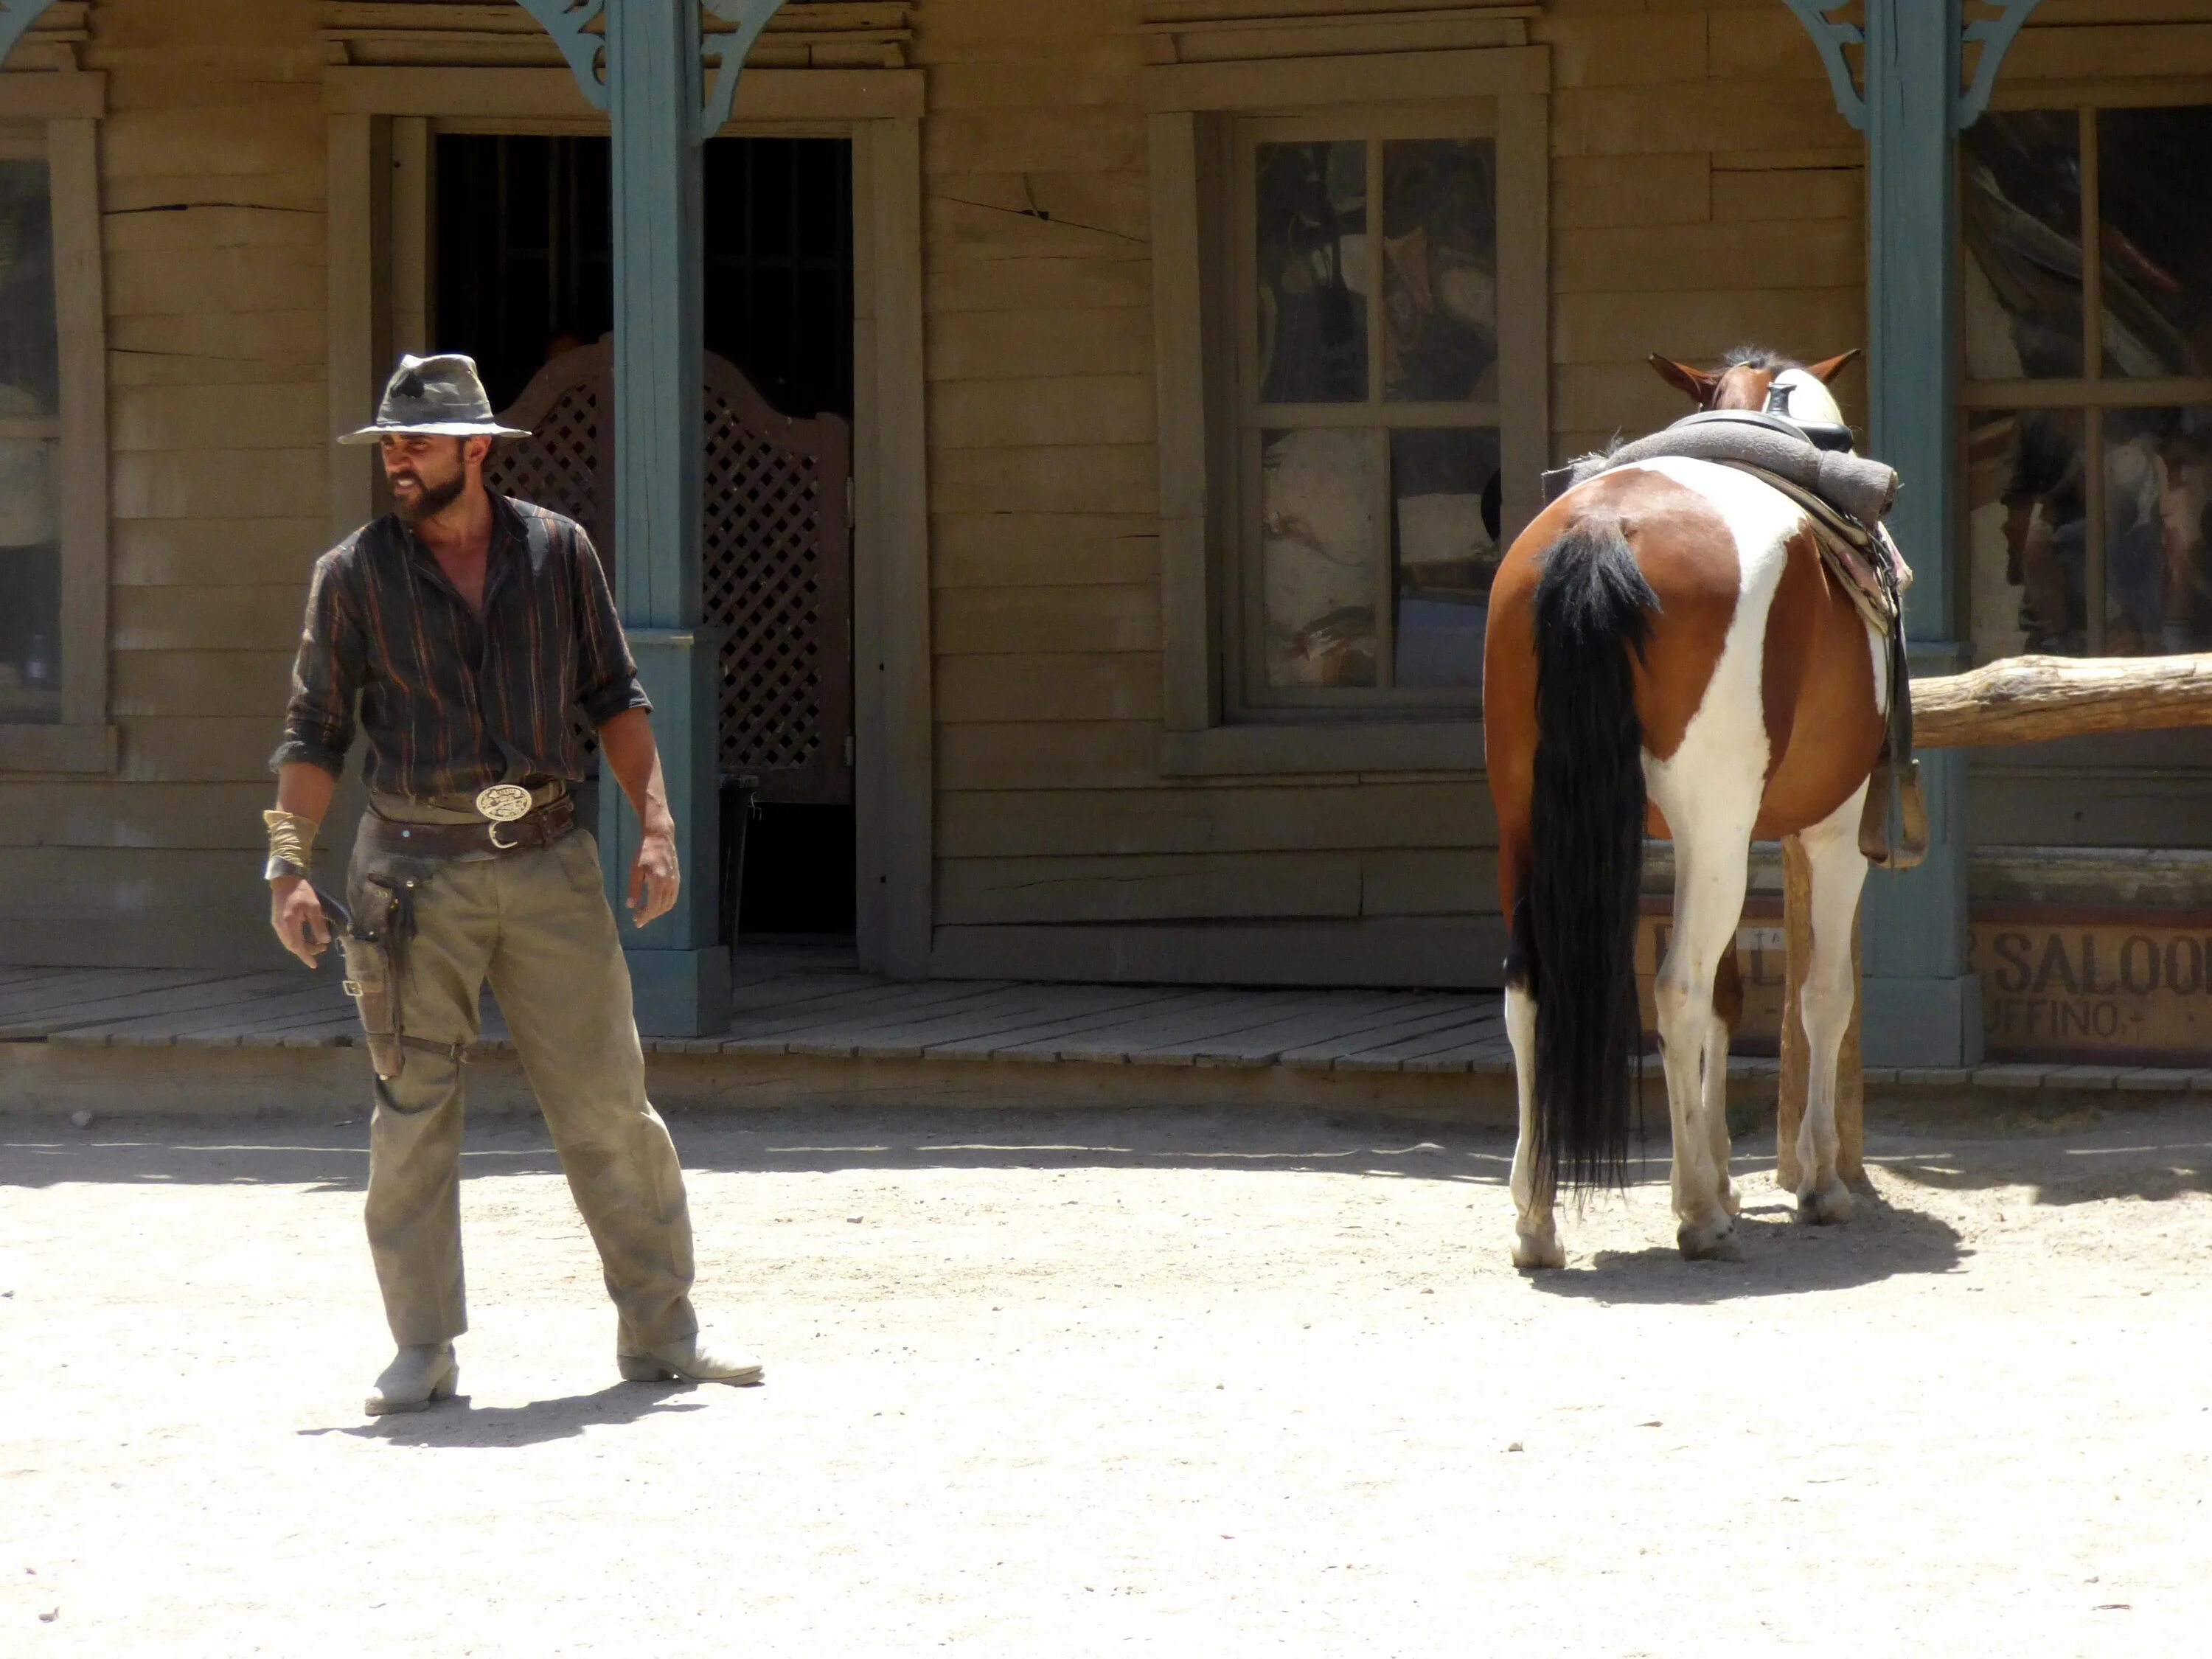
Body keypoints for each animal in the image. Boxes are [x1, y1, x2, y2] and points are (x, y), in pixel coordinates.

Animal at [1486, 345, 1885, 1265]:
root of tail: (1602, 529)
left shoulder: (1711, 841)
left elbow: (1730, 999)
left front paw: (1726, 1171)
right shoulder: (1829, 831)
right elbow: (1823, 995)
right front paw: (1816, 1182)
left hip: (1526, 821)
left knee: (1530, 991)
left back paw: (1536, 1218)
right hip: (1722, 829)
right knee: (1675, 989)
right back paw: (1698, 1214)